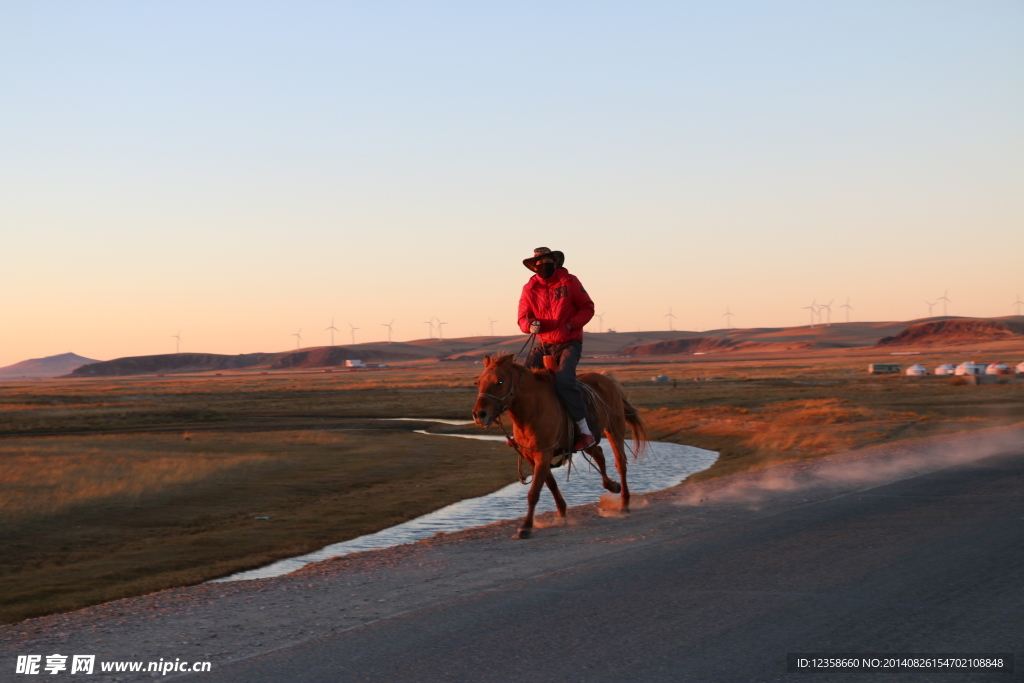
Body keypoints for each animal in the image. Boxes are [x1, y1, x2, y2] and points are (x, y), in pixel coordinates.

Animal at [471, 352, 647, 540]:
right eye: (479, 382)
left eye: (500, 381)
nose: (479, 415)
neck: (532, 411)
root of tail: (606, 378)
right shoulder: (532, 456)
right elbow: (551, 484)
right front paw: (562, 514)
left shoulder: (544, 454)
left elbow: (534, 492)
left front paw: (525, 527)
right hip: (589, 440)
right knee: (599, 453)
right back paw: (613, 486)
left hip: (614, 430)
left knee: (620, 462)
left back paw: (625, 503)